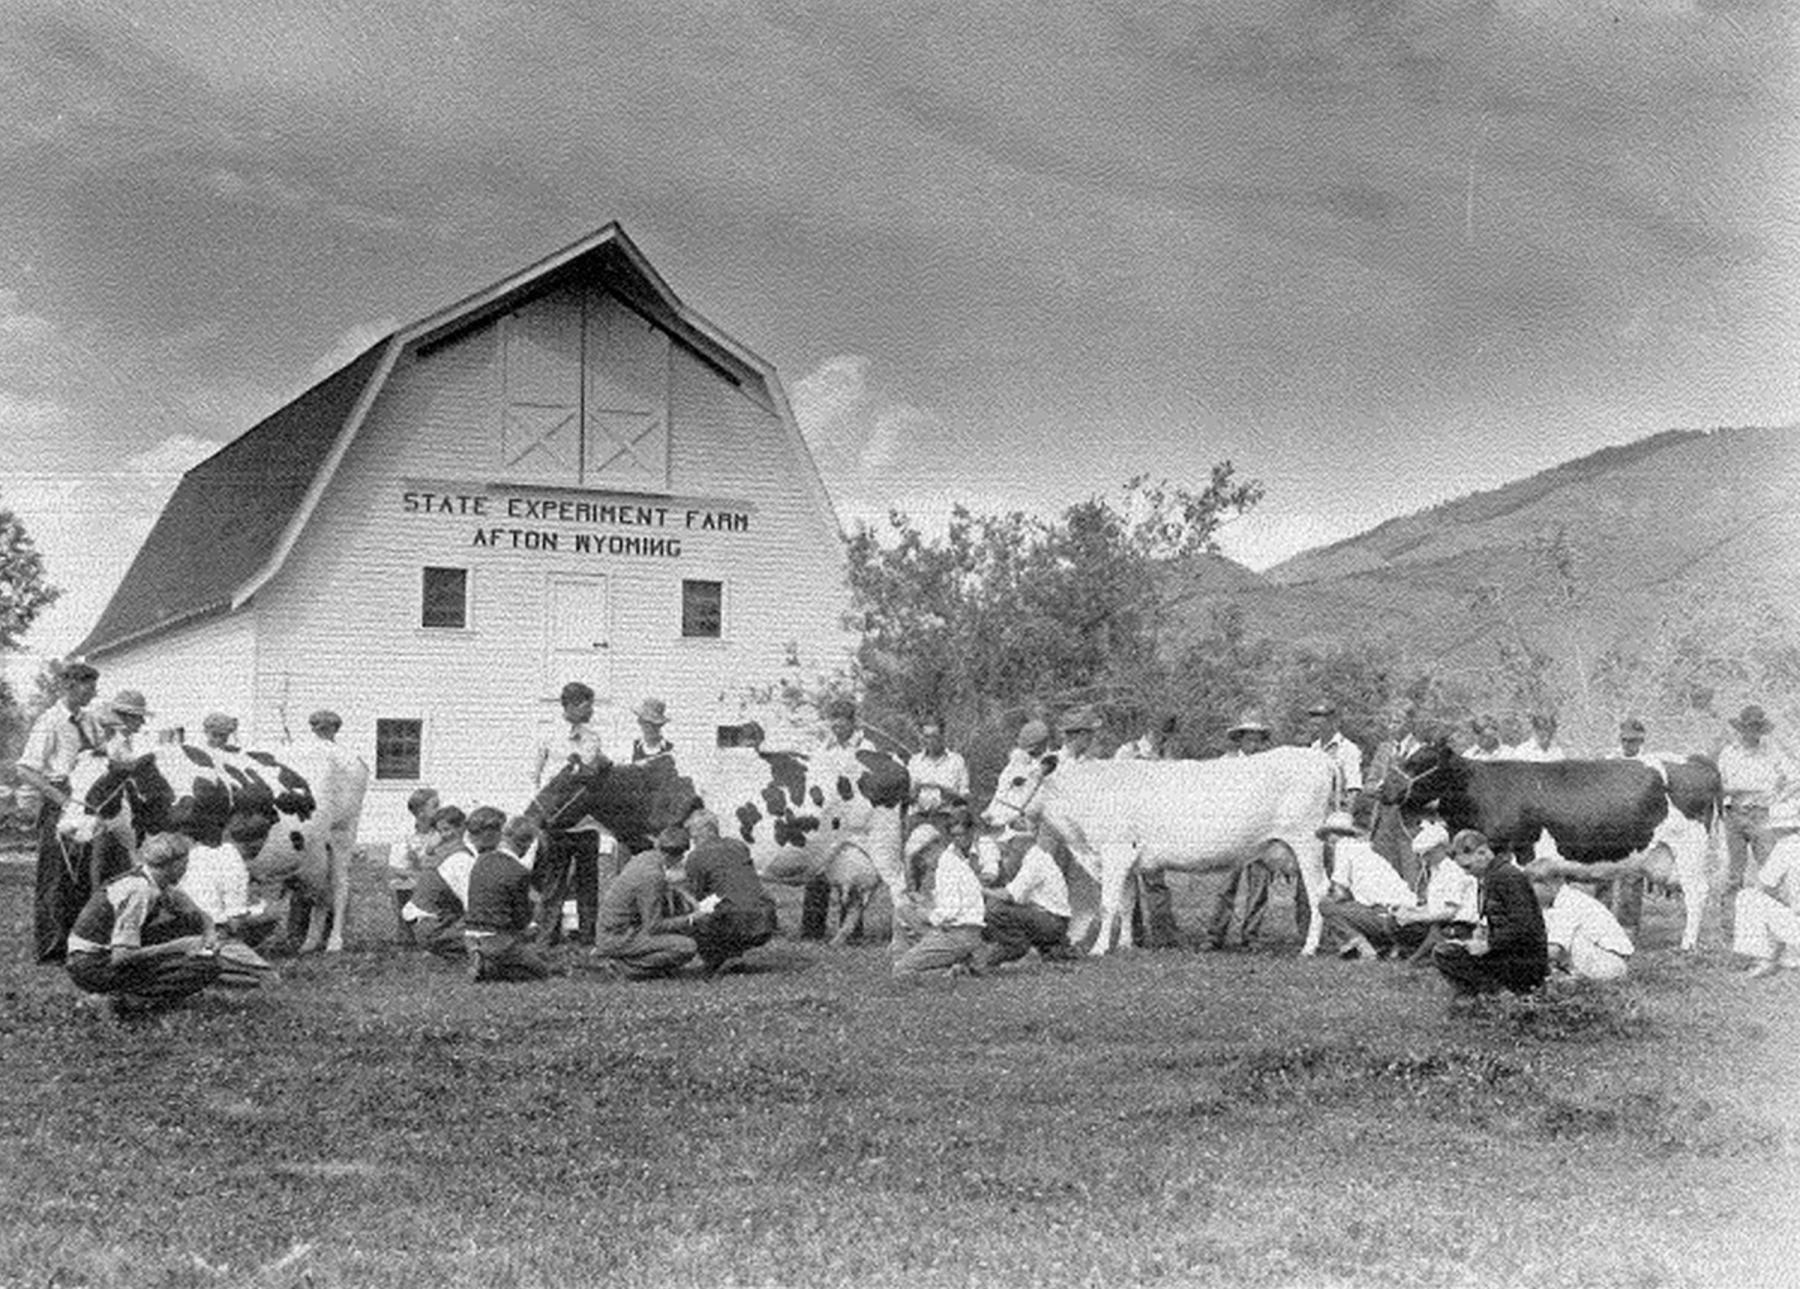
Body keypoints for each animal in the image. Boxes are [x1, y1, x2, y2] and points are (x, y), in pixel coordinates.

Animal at [986, 745, 1339, 957]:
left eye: (1018, 780)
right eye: (1001, 778)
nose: (986, 817)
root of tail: (1319, 758)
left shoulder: (1114, 853)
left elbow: (1107, 905)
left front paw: (1099, 949)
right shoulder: (1127, 861)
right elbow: (1126, 904)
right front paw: (1126, 945)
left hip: (1307, 842)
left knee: (1318, 891)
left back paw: (1309, 948)